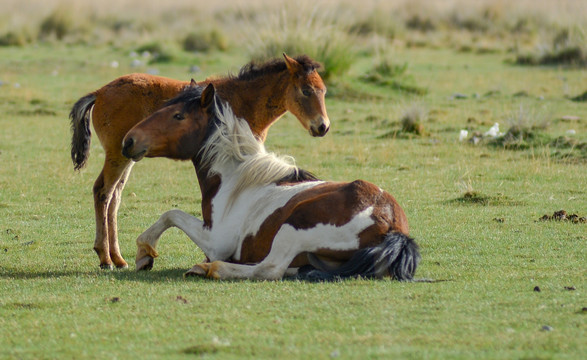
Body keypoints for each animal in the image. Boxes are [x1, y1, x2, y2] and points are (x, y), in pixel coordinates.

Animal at [69, 52, 330, 268]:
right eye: (306, 90)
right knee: (103, 192)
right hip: (117, 155)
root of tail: (99, 92)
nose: (323, 127)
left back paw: (118, 258)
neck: (242, 99)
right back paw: (105, 258)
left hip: (128, 155)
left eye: (324, 91)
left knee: (114, 196)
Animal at [121, 84, 420, 282]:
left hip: (295, 224)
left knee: (270, 268)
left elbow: (170, 214)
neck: (236, 178)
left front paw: (144, 252)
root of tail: (391, 222)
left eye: (178, 116)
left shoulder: (216, 241)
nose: (129, 140)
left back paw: (213, 269)